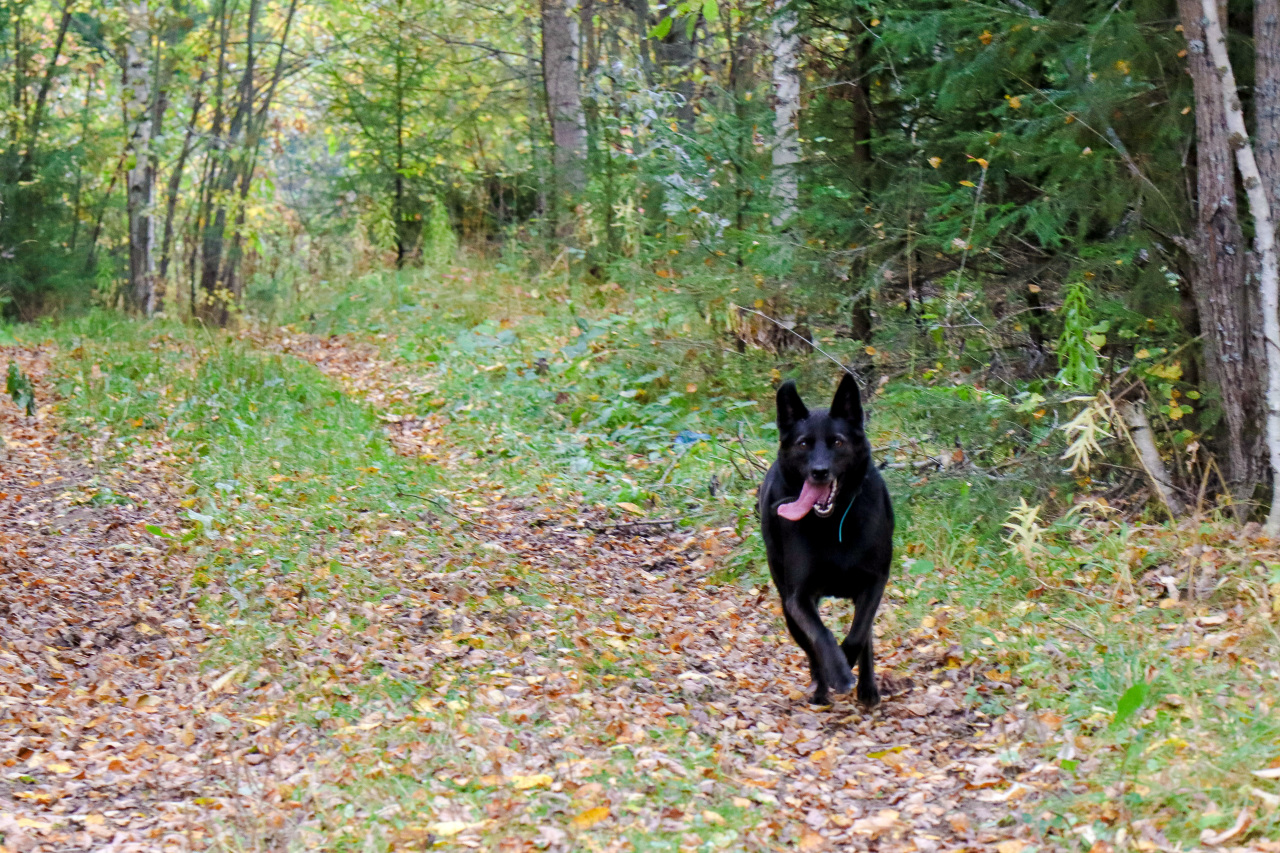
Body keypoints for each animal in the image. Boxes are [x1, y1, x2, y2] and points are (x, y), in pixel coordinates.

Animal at [752, 373, 896, 701]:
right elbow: (821, 635)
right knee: (809, 646)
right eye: (804, 443)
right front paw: (838, 673)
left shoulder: (874, 581)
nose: (819, 471)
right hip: (785, 600)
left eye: (838, 442)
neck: (832, 523)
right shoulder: (799, 597)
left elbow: (859, 633)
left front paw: (850, 663)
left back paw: (867, 689)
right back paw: (821, 687)